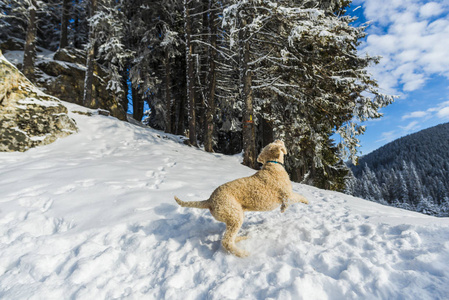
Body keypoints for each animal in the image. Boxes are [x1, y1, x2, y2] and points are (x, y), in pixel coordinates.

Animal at [174, 139, 308, 256]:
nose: (280, 139)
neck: (272, 165)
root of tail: (209, 201)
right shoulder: (288, 195)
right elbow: (298, 197)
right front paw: (306, 201)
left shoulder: (287, 197)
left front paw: (284, 209)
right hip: (234, 216)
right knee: (226, 241)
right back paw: (242, 254)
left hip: (234, 216)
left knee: (229, 237)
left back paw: (240, 238)